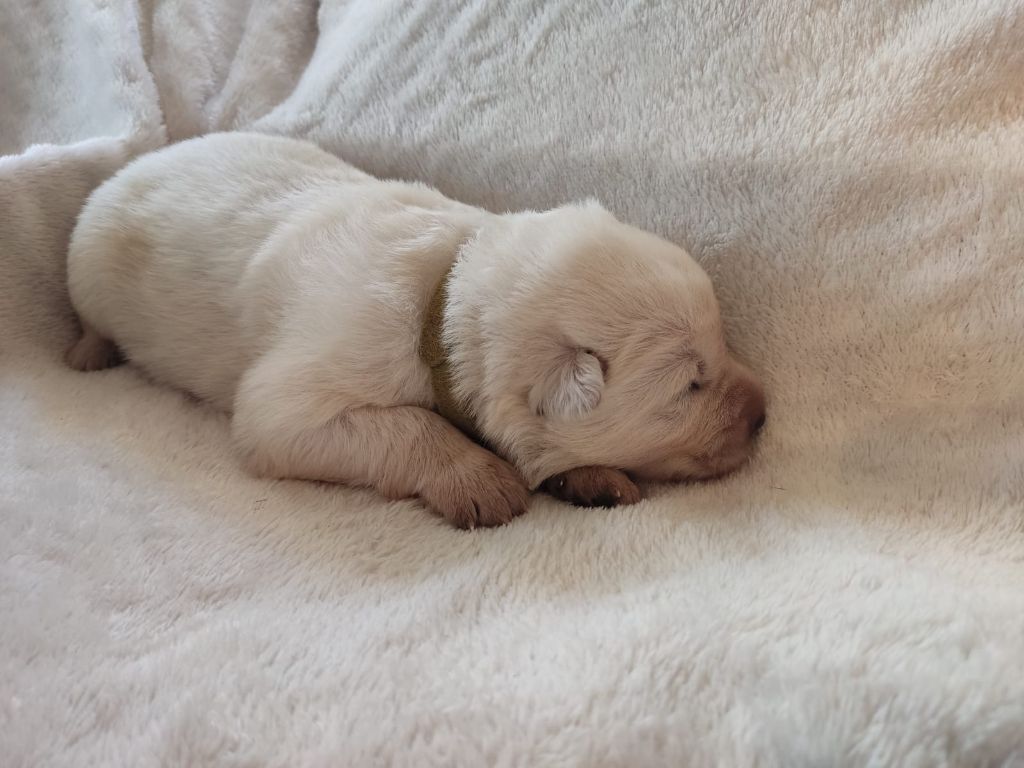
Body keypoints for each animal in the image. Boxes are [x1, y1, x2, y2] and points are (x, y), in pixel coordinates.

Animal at [66, 132, 770, 528]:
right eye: (689, 386)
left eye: (721, 344)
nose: (765, 413)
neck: (441, 302)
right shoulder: (296, 399)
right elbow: (406, 425)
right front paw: (482, 480)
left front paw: (592, 478)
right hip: (87, 266)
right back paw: (87, 352)